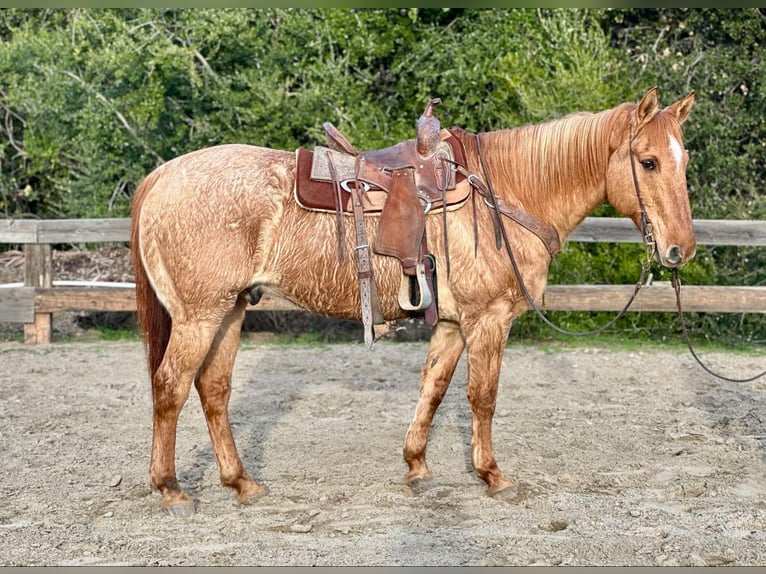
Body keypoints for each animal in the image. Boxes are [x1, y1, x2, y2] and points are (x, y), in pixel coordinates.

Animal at [130, 88, 696, 520]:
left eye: (682, 160)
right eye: (647, 162)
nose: (680, 250)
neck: (504, 195)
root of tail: (161, 176)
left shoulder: (451, 324)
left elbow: (434, 388)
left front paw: (417, 466)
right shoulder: (488, 321)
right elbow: (482, 397)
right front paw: (492, 475)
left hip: (230, 311)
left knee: (213, 390)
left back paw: (242, 483)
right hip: (200, 316)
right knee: (171, 386)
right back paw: (171, 489)